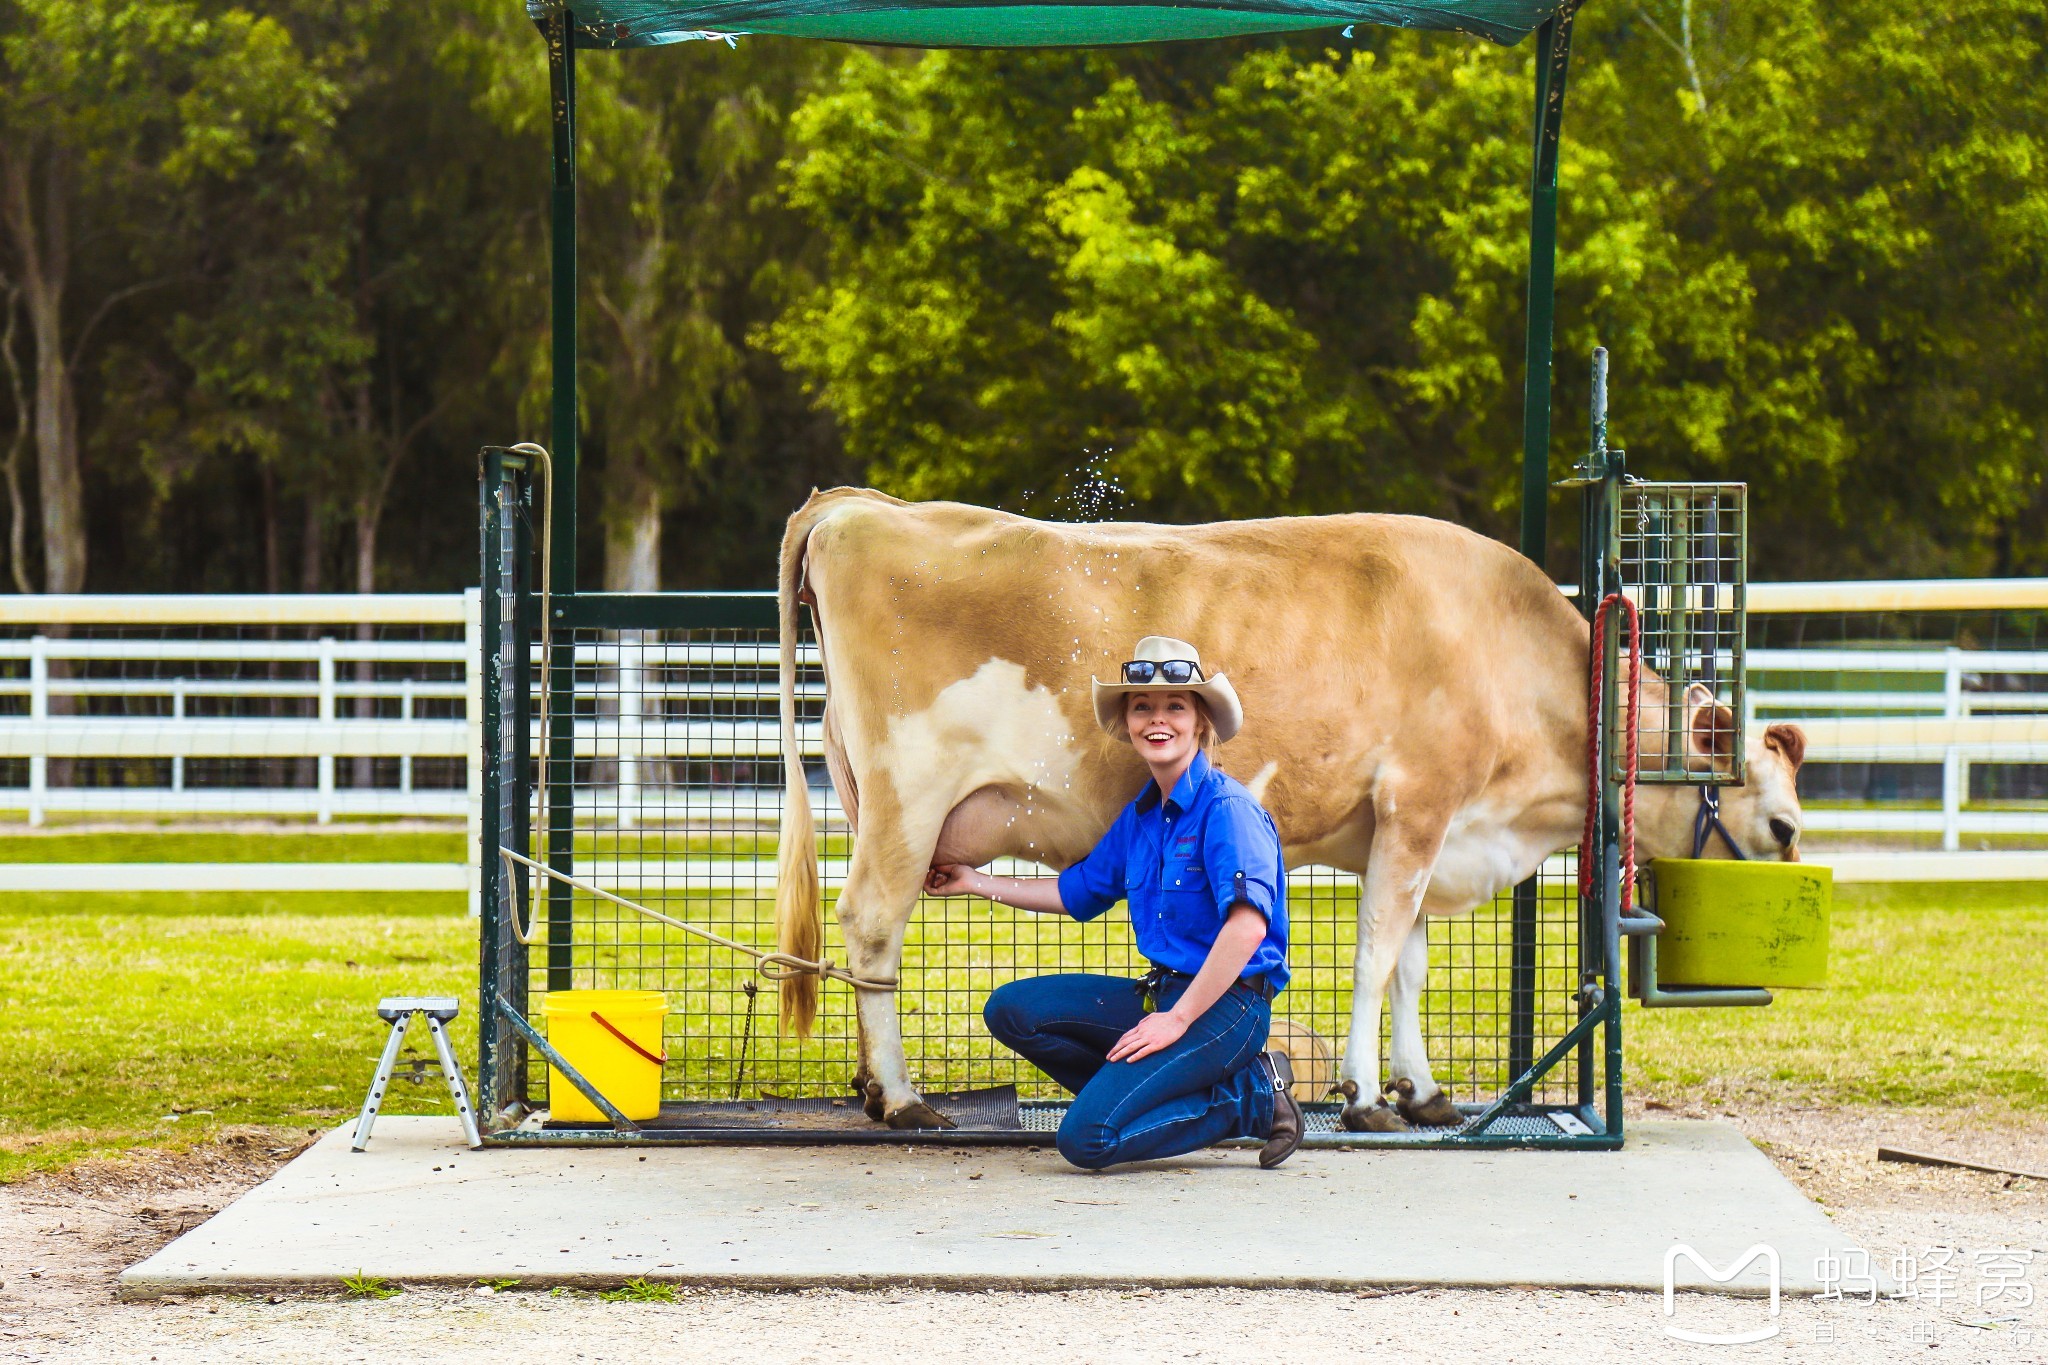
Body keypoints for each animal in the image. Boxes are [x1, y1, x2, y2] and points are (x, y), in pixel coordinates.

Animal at [770, 491, 1810, 1129]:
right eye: (1783, 827)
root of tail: (863, 506)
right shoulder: (1419, 801)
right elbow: (1376, 955)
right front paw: (1364, 1094)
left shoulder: (1423, 832)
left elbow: (1411, 967)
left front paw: (1422, 1087)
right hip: (910, 797)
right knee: (872, 925)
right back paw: (903, 1096)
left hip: (870, 798)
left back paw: (871, 1087)